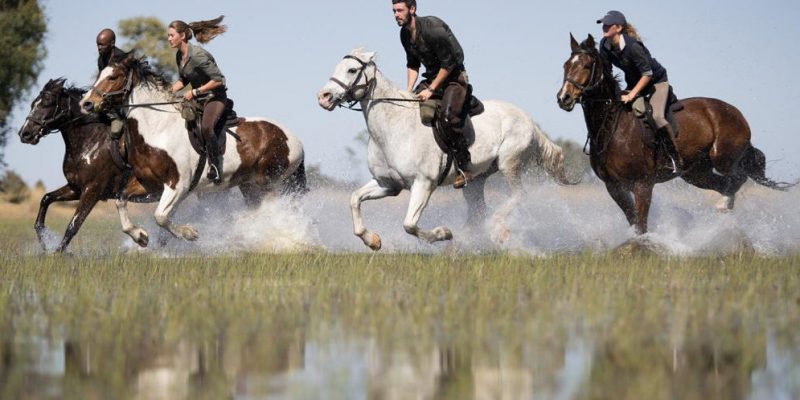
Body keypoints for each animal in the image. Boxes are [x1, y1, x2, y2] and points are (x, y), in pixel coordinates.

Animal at [18, 78, 155, 253]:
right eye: (33, 104)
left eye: (48, 103)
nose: (24, 134)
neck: (90, 142)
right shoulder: (76, 188)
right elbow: (46, 199)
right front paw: (44, 239)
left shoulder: (92, 190)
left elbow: (74, 224)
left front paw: (59, 253)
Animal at [80, 55, 306, 244]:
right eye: (99, 75)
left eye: (113, 77)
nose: (86, 103)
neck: (158, 129)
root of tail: (296, 140)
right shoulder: (150, 185)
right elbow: (121, 201)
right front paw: (140, 236)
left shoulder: (178, 185)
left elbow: (160, 216)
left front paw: (189, 233)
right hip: (249, 185)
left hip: (270, 183)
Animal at [316, 49, 572, 250]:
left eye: (351, 70)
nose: (323, 97)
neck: (394, 126)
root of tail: (530, 121)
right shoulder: (388, 184)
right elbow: (354, 199)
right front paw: (373, 240)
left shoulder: (423, 184)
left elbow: (409, 224)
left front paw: (444, 233)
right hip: (476, 180)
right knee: (478, 212)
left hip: (510, 164)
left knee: (519, 196)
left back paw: (497, 229)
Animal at [560, 35, 792, 234]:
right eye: (565, 65)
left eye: (586, 66)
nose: (563, 98)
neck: (612, 128)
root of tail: (738, 114)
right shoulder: (614, 187)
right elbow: (633, 220)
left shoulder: (643, 184)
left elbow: (641, 224)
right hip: (696, 173)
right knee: (724, 184)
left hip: (722, 158)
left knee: (738, 177)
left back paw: (723, 204)